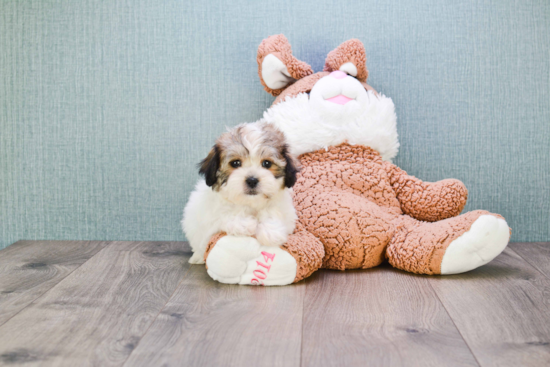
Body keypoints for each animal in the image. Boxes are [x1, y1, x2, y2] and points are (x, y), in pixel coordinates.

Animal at [183, 121, 300, 264]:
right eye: (235, 163)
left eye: (267, 163)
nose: (252, 180)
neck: (250, 203)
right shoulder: (210, 218)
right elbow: (224, 215)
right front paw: (246, 224)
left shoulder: (287, 214)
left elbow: (273, 212)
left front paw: (271, 232)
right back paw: (197, 257)